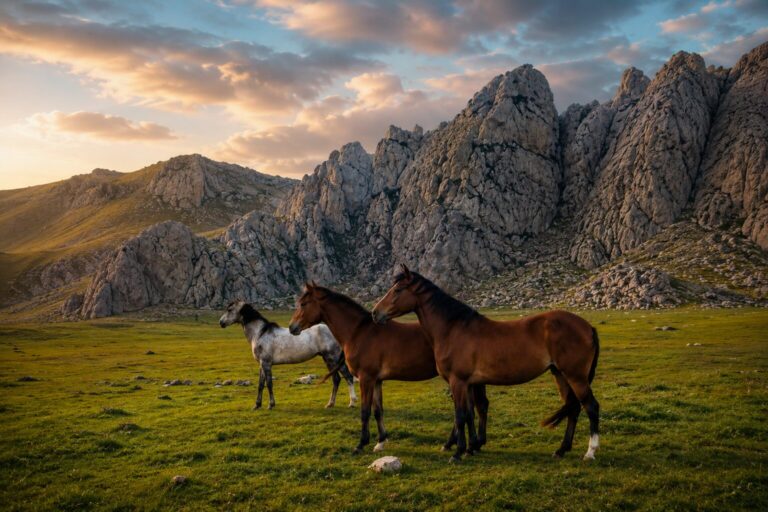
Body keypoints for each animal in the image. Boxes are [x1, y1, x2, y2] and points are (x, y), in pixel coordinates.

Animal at [219, 300, 356, 410]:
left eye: (230, 310)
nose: (221, 322)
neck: (260, 333)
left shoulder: (266, 363)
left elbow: (269, 383)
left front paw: (271, 405)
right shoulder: (261, 364)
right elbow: (260, 385)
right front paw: (257, 405)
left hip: (333, 358)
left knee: (348, 377)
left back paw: (352, 403)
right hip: (328, 359)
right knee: (336, 379)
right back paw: (330, 404)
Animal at [288, 283, 490, 454]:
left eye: (303, 303)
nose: (292, 327)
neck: (359, 332)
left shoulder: (366, 379)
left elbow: (365, 411)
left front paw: (361, 444)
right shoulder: (376, 380)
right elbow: (378, 411)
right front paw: (381, 441)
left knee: (471, 409)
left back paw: (459, 444)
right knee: (474, 408)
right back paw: (465, 444)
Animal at [372, 265, 600, 463]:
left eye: (398, 290)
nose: (375, 312)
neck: (453, 329)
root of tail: (587, 326)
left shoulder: (458, 381)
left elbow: (461, 415)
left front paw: (458, 452)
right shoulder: (469, 383)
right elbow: (470, 413)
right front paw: (470, 447)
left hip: (575, 376)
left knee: (591, 407)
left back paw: (590, 452)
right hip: (560, 375)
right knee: (573, 408)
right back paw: (561, 449)